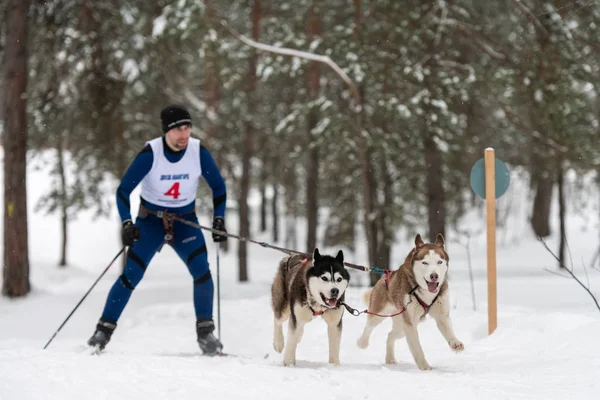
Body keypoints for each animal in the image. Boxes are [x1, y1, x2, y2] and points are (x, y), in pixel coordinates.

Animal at [356, 233, 464, 370]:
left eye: (439, 262)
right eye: (425, 262)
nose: (434, 276)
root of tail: (384, 275)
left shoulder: (441, 315)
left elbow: (448, 330)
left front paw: (455, 343)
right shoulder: (410, 324)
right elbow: (417, 348)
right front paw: (424, 366)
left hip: (402, 327)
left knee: (390, 335)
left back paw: (390, 358)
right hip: (381, 315)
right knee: (369, 326)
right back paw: (362, 342)